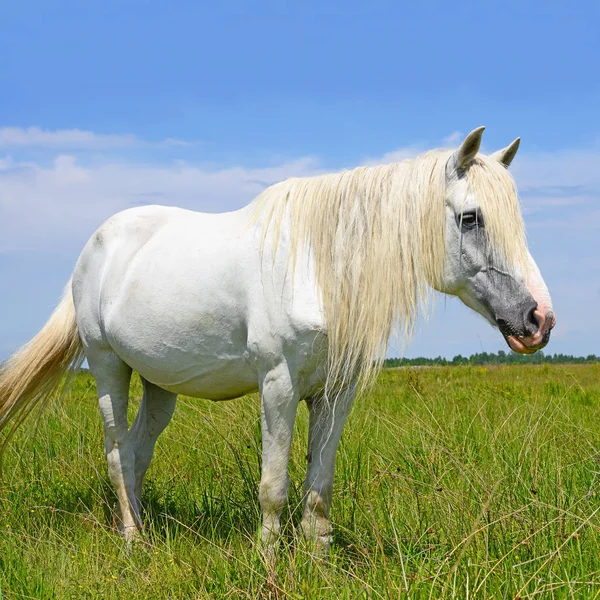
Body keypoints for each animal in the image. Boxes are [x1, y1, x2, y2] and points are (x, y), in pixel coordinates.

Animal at [0, 127, 552, 552]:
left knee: (138, 453)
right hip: (106, 365)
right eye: (471, 217)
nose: (539, 319)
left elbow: (319, 486)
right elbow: (274, 486)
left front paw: (317, 561)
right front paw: (267, 562)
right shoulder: (278, 385)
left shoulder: (336, 393)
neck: (317, 267)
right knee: (117, 453)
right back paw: (133, 541)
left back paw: (145, 533)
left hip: (160, 384)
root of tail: (95, 247)